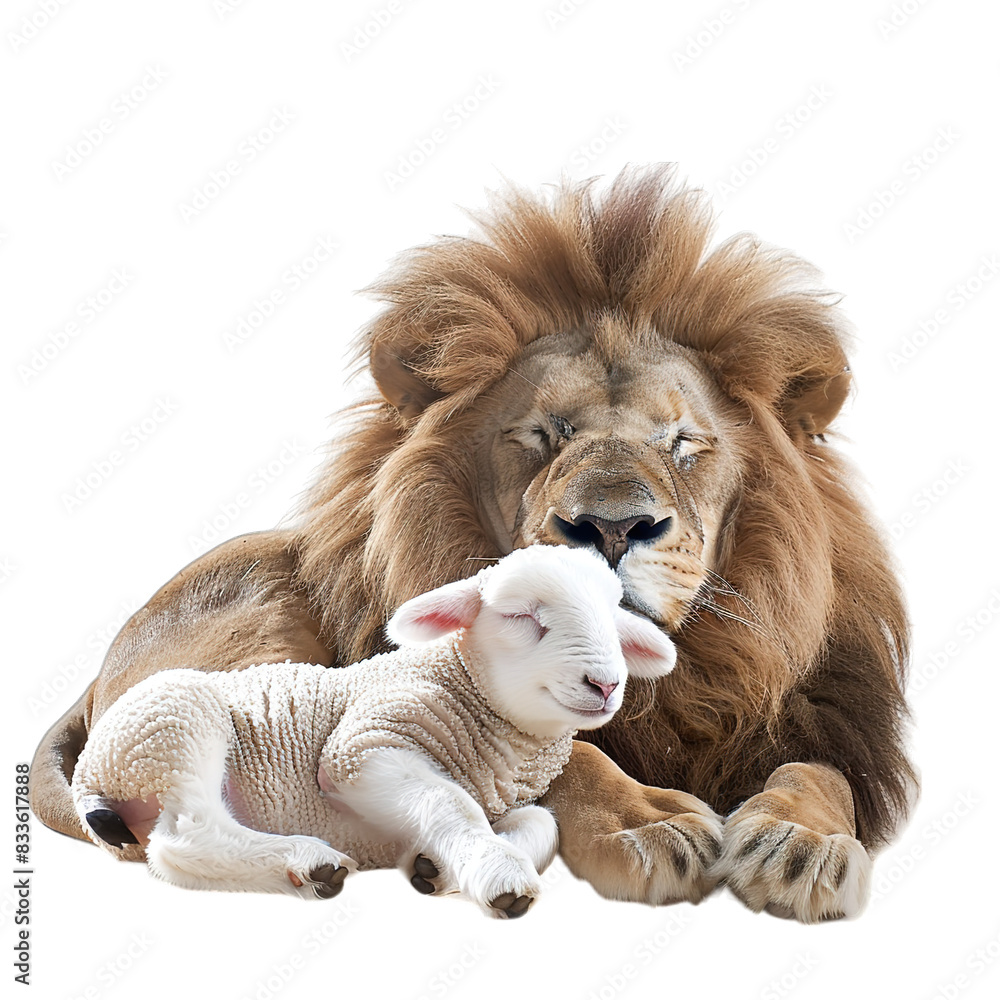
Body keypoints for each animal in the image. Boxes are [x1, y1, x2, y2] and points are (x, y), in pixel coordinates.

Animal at [31, 165, 915, 922]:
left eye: (682, 442)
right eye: (541, 433)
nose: (612, 525)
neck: (666, 690)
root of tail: (96, 674)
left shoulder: (819, 723)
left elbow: (819, 774)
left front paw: (803, 842)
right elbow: (571, 762)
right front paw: (643, 821)